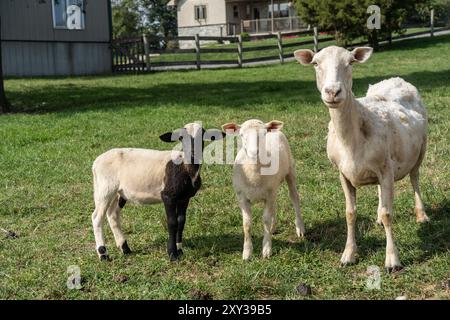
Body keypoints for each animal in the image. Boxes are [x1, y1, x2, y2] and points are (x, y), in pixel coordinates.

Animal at [92, 122, 225, 260]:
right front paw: (172, 254)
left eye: (202, 135)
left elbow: (181, 221)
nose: (193, 152)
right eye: (181, 138)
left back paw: (125, 248)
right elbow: (172, 222)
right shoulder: (168, 196)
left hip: (119, 193)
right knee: (97, 218)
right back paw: (103, 254)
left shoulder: (184, 197)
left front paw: (180, 250)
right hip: (104, 189)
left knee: (112, 214)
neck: (185, 167)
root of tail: (96, 162)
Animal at [296, 46, 428, 272]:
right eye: (315, 63)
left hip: (421, 148)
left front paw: (392, 260)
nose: (332, 92)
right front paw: (348, 254)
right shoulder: (344, 174)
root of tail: (396, 79)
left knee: (415, 179)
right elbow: (350, 214)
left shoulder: (386, 170)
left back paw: (422, 215)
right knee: (382, 193)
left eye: (350, 62)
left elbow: (388, 214)